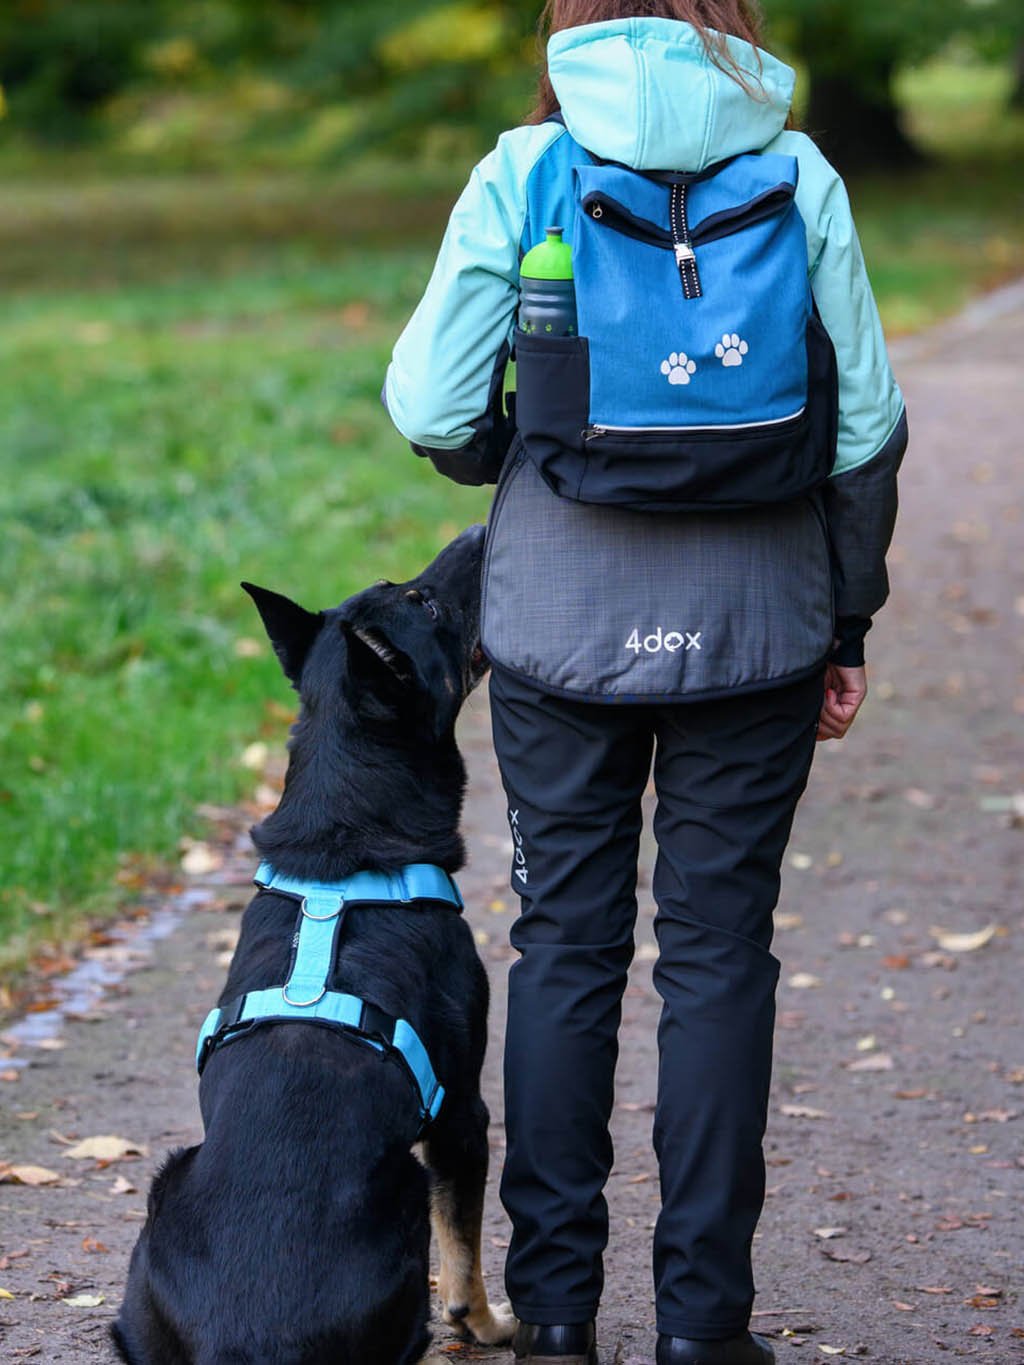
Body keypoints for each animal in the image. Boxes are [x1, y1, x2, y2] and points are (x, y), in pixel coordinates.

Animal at [114, 529, 513, 1365]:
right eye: (425, 602)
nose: (479, 532)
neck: (346, 847)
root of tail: (246, 1345)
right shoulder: (463, 1109)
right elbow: (464, 1253)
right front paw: (491, 1324)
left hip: (164, 1187)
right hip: (404, 1183)